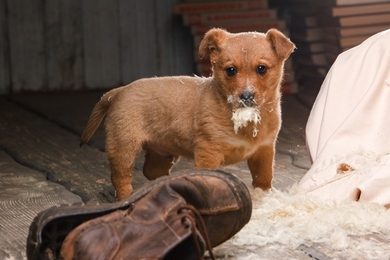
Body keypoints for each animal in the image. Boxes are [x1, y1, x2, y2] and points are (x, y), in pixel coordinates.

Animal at [80, 27, 294, 199]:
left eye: (261, 69)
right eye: (231, 71)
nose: (246, 96)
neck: (245, 120)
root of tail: (119, 91)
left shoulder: (264, 150)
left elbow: (264, 178)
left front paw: (265, 196)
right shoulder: (209, 152)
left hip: (162, 153)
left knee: (151, 171)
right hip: (123, 146)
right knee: (121, 177)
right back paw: (126, 197)